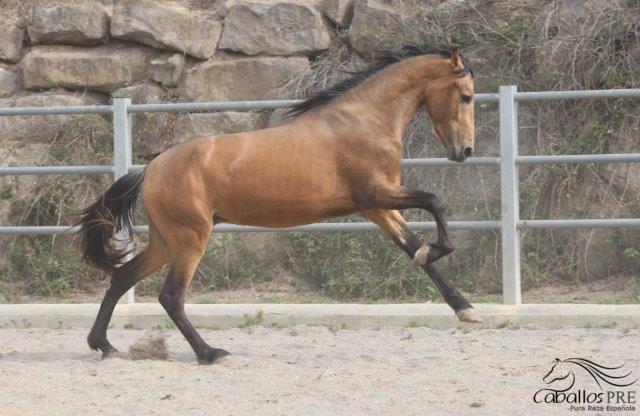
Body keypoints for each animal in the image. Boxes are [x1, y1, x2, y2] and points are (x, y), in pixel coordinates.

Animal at [76, 44, 480, 364]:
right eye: (466, 96)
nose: (465, 151)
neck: (365, 120)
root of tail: (150, 169)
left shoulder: (378, 208)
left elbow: (412, 245)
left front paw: (465, 308)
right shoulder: (375, 195)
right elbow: (434, 202)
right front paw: (436, 251)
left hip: (166, 241)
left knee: (122, 278)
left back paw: (104, 345)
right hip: (191, 239)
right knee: (171, 296)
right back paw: (210, 353)